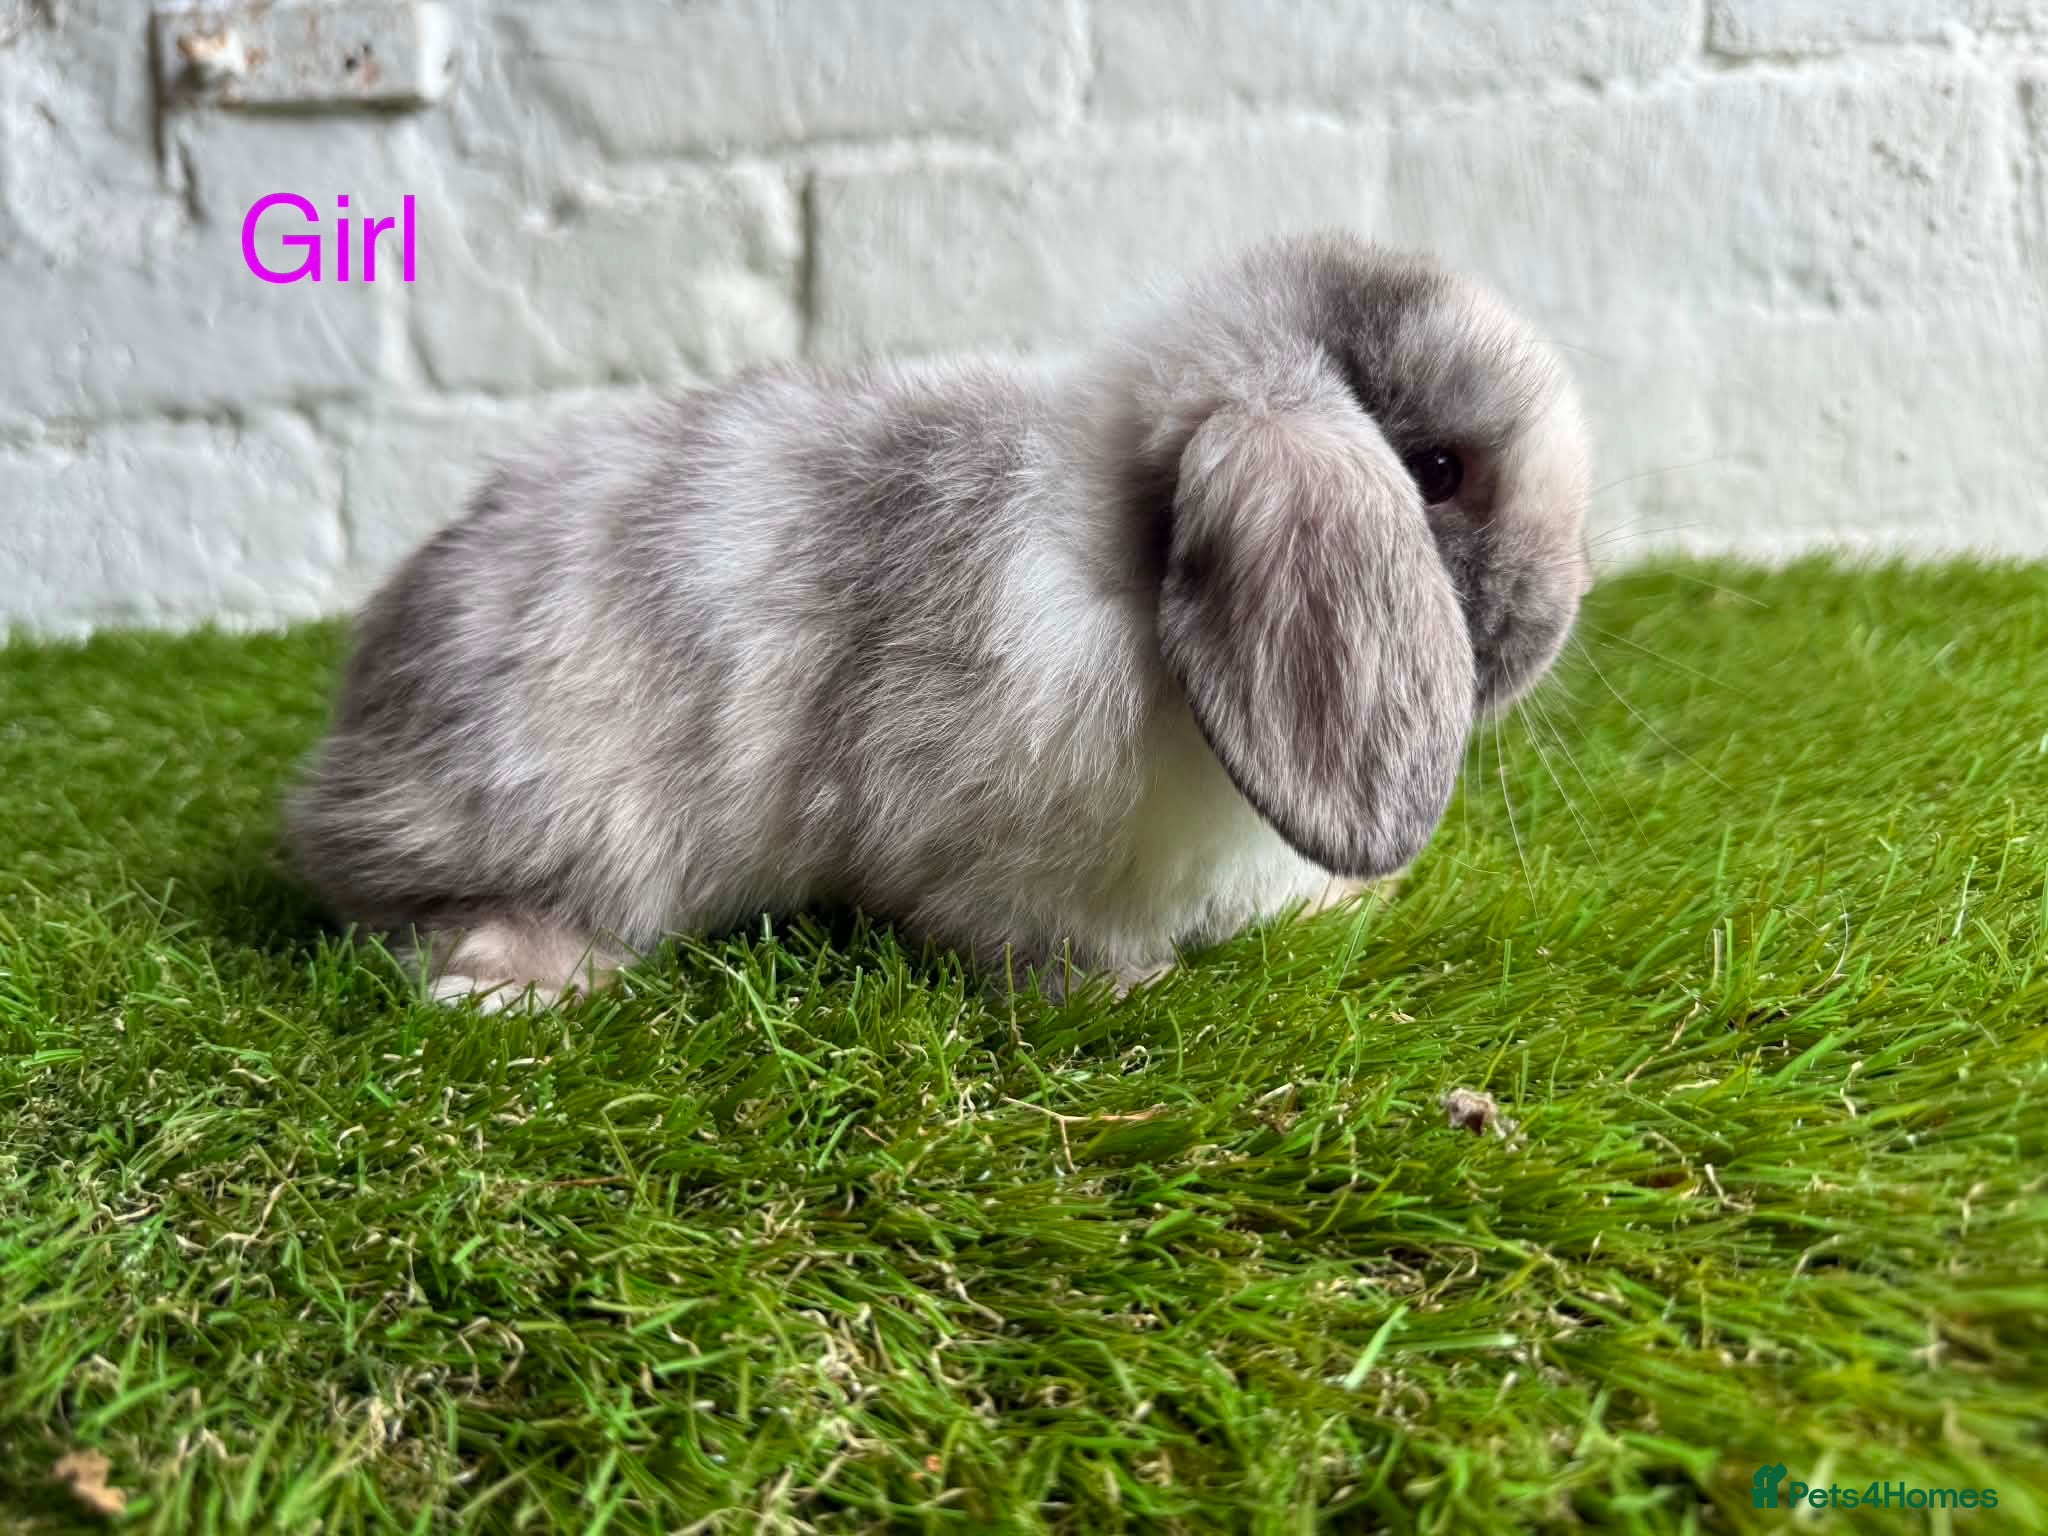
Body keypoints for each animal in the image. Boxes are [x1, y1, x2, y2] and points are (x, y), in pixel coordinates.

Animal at [285, 230, 1593, 1009]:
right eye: (1435, 471)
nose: (1561, 609)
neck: (1123, 569)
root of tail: (353, 742)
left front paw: (1343, 902)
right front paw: (1130, 992)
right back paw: (520, 975)